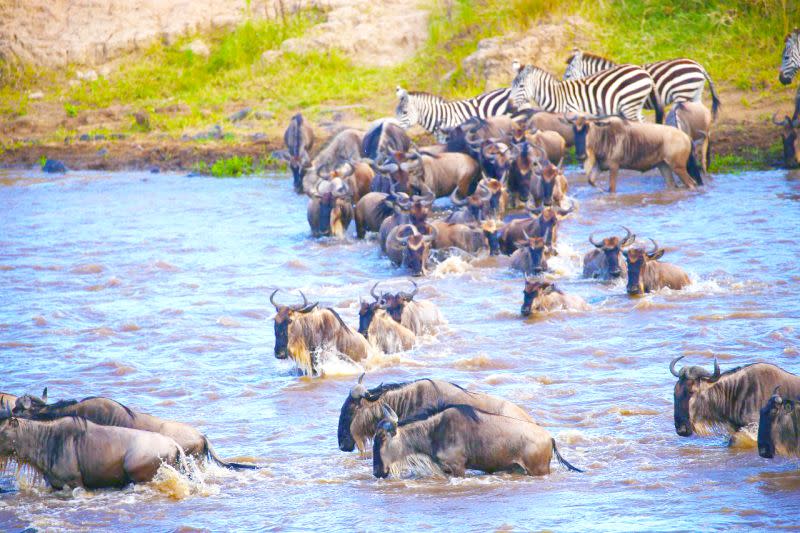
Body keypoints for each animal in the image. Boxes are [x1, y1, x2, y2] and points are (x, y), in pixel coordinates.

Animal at [510, 62, 652, 121]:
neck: (557, 96)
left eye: (521, 86)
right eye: (512, 85)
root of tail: (643, 71)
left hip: (629, 105)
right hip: (634, 105)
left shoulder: (575, 113)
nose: (510, 105)